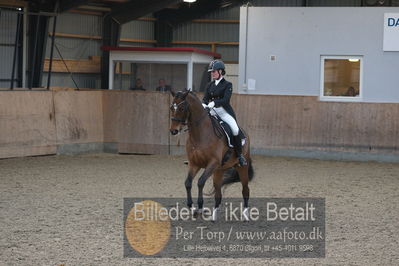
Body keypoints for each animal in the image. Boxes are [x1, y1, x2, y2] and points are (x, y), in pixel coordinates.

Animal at [170, 88, 255, 221]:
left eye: (182, 108)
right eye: (171, 108)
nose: (173, 131)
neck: (200, 134)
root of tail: (244, 132)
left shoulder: (212, 163)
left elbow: (200, 182)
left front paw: (200, 207)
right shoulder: (194, 164)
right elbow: (188, 183)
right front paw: (192, 208)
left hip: (242, 167)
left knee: (245, 190)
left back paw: (246, 215)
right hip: (219, 171)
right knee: (218, 193)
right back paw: (214, 216)